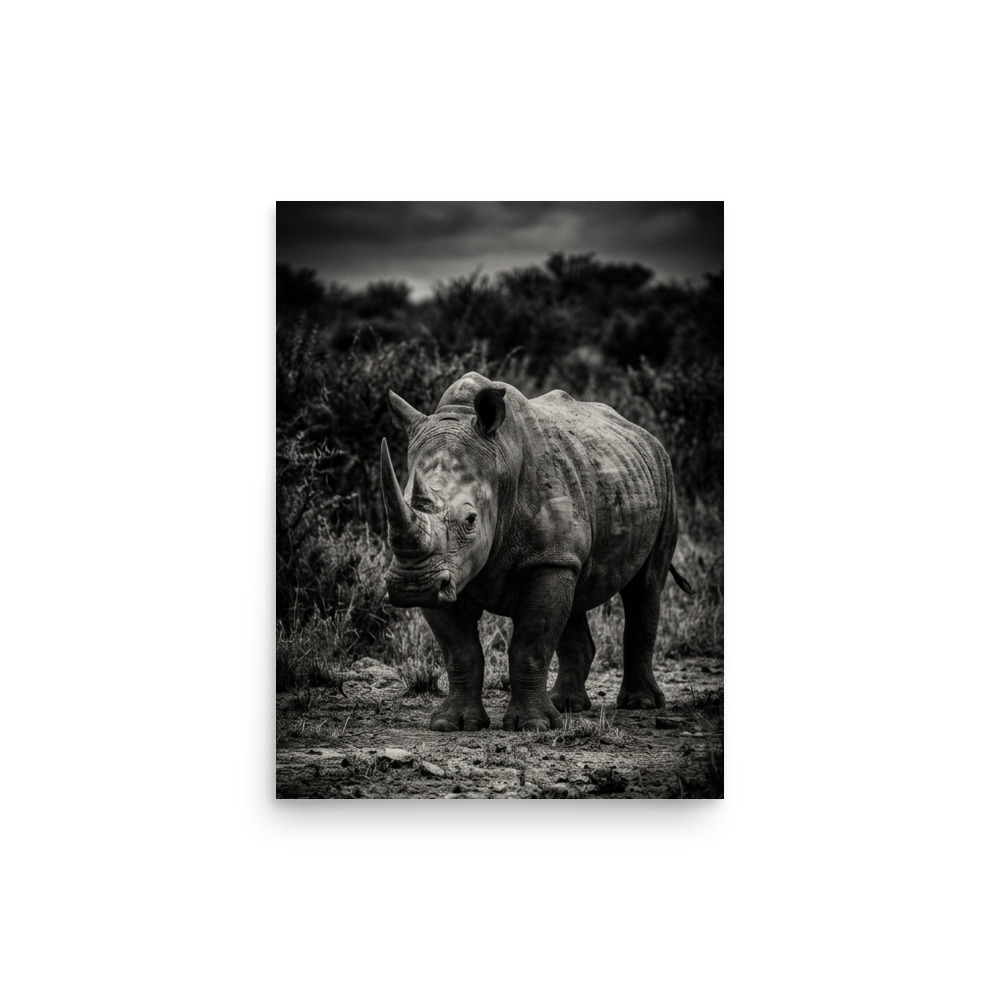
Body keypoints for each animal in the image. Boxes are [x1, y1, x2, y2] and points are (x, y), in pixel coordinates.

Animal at [380, 372, 692, 732]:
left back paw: (639, 704)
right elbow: (460, 651)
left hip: (664, 478)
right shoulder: (448, 572)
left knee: (645, 586)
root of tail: (643, 434)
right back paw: (567, 705)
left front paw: (533, 725)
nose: (412, 585)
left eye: (470, 520)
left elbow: (531, 644)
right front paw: (452, 723)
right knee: (577, 591)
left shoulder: (545, 559)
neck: (500, 459)